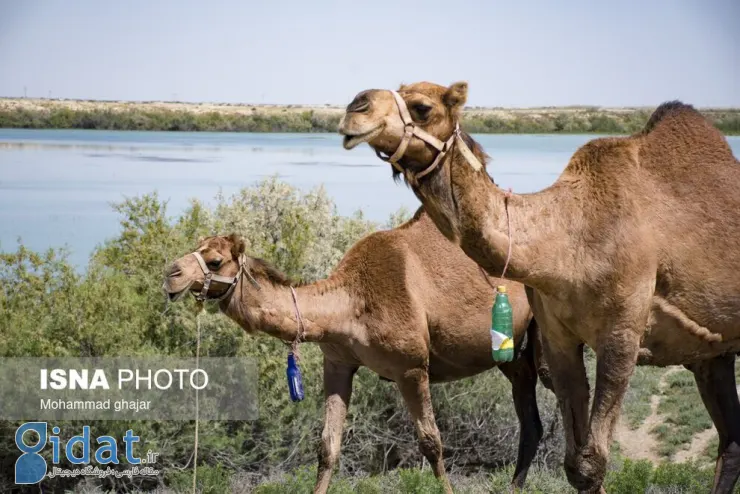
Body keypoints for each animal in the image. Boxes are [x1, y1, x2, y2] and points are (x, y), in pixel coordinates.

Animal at [163, 207, 556, 494]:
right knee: (531, 421)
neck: (350, 303)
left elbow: (432, 443)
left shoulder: (412, 367)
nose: (171, 273)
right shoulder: (337, 363)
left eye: (215, 261)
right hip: (514, 355)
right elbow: (328, 447)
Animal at [338, 82, 740, 494]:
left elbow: (593, 461)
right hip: (713, 353)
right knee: (731, 441)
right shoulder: (556, 337)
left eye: (422, 107)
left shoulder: (622, 334)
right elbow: (577, 465)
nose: (355, 107)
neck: (569, 237)